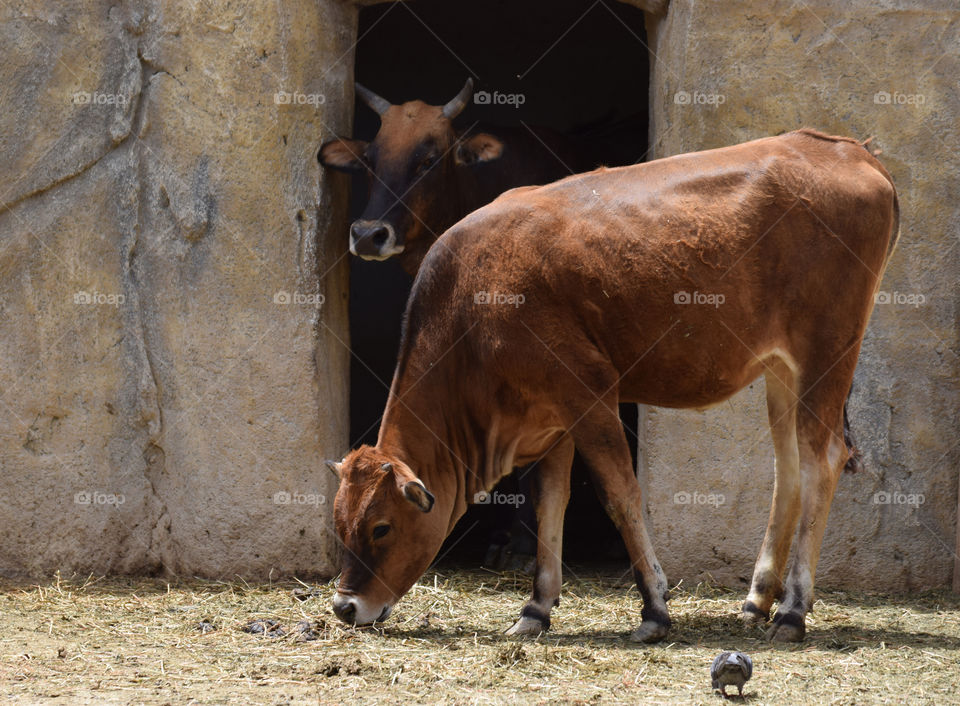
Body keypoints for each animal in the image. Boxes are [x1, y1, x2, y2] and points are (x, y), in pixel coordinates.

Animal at [325, 128, 899, 642]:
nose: (345, 607)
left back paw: (793, 610)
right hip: (782, 369)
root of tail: (851, 150)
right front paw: (535, 609)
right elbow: (549, 502)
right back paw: (757, 600)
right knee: (788, 469)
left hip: (828, 350)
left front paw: (654, 608)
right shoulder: (549, 418)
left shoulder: (590, 392)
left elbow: (620, 495)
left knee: (823, 459)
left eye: (381, 527)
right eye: (340, 524)